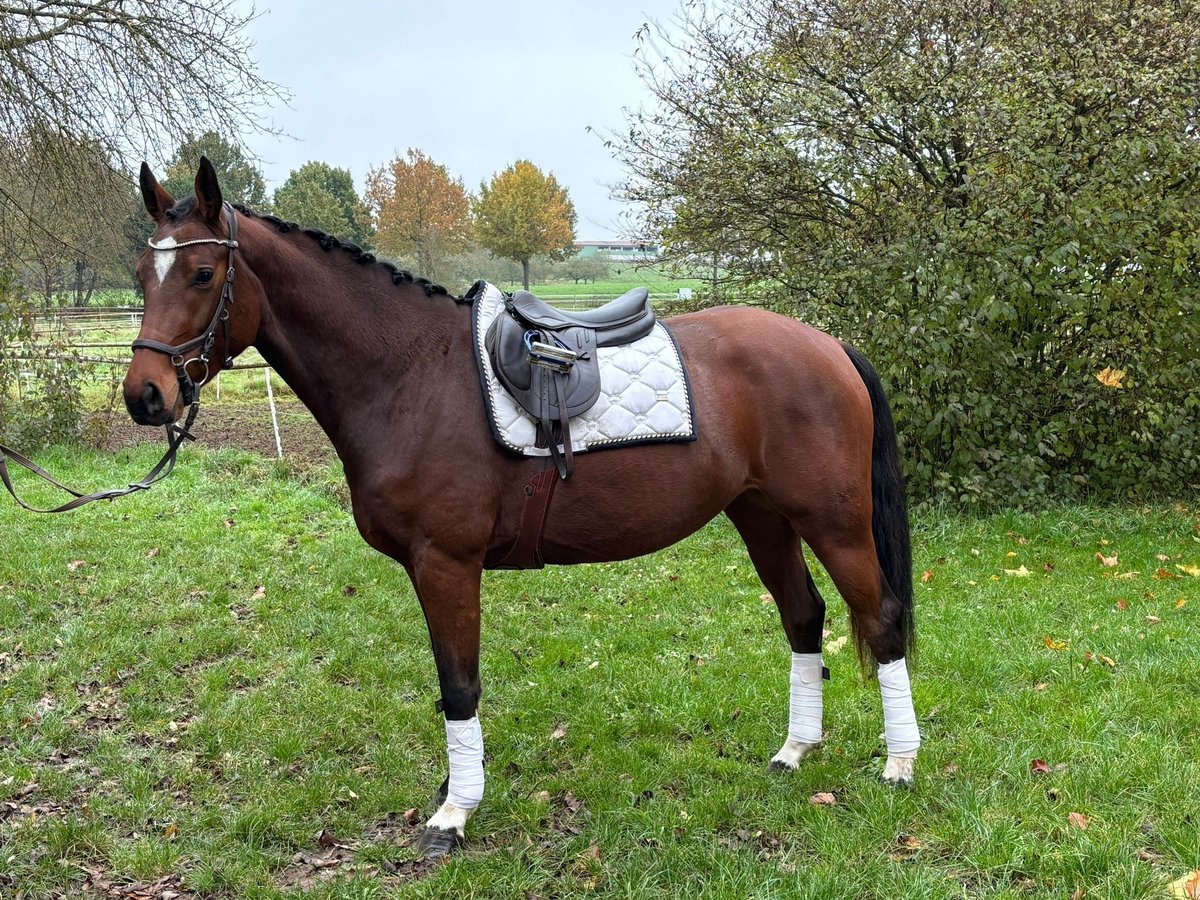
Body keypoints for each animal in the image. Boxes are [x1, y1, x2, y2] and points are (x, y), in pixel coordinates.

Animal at [124, 160, 916, 859]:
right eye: (140, 275)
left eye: (202, 274)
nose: (144, 395)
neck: (409, 375)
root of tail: (829, 346)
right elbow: (451, 686)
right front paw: (453, 790)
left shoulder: (446, 564)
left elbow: (458, 685)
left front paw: (453, 815)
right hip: (761, 516)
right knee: (805, 617)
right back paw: (795, 751)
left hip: (834, 523)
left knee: (878, 618)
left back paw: (900, 765)